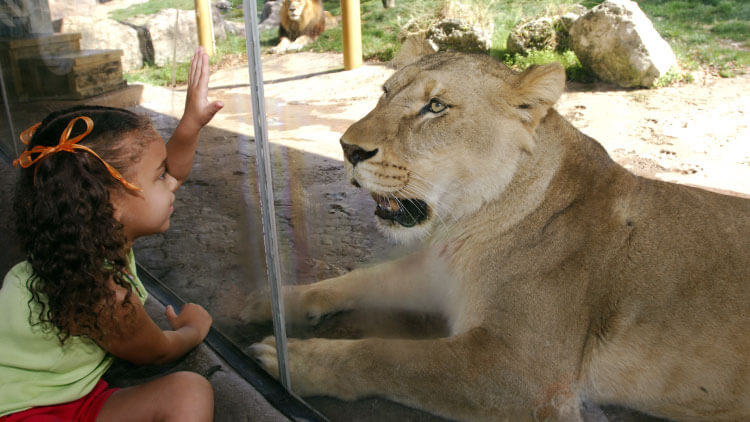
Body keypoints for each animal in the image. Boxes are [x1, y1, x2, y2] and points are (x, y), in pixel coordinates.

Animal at [249, 52, 750, 421]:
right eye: (385, 93)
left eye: (436, 107)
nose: (347, 148)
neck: (464, 226)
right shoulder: (438, 275)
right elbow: (355, 280)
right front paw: (269, 300)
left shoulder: (528, 377)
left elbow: (389, 356)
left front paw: (294, 360)